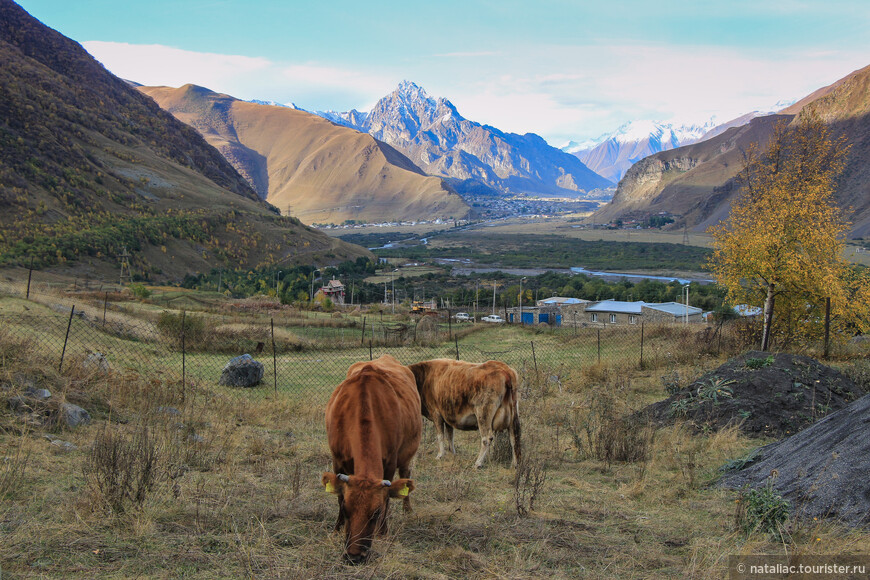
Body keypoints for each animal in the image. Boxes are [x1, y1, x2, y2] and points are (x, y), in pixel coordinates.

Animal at [326, 354, 424, 560]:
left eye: (376, 513)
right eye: (346, 509)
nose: (354, 556)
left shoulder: (390, 462)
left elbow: (387, 499)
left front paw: (383, 532)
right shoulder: (336, 460)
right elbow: (338, 495)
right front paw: (337, 528)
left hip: (407, 455)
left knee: (406, 476)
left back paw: (407, 509)